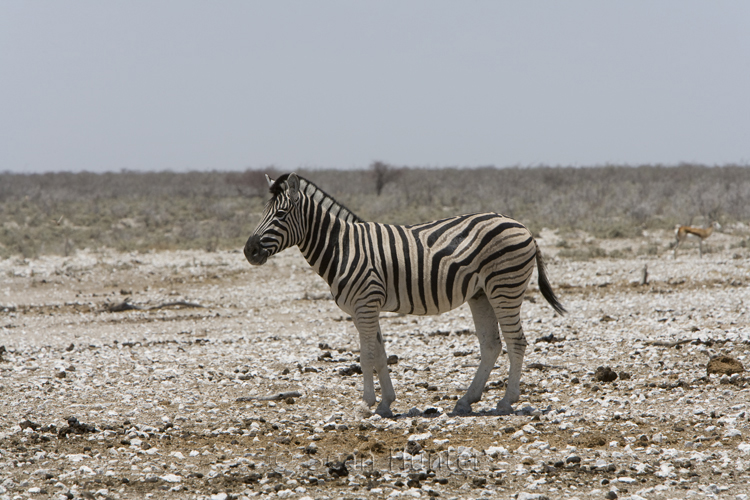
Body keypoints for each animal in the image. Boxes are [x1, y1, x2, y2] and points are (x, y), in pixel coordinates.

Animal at [244, 173, 565, 417]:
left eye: (281, 214)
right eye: (262, 213)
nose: (249, 250)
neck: (342, 247)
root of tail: (523, 226)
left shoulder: (365, 303)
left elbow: (366, 355)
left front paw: (367, 404)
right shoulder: (365, 307)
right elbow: (380, 354)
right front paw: (385, 403)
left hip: (504, 288)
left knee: (516, 342)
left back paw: (506, 402)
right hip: (481, 294)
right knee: (491, 345)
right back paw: (466, 401)